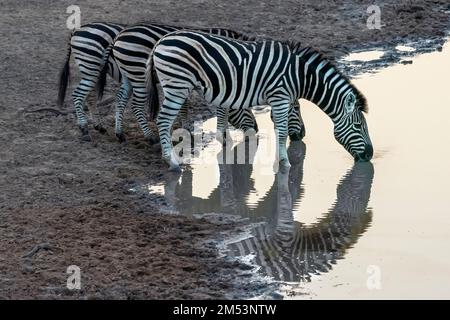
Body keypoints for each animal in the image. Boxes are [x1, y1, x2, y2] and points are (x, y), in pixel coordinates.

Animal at [147, 30, 372, 171]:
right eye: (359, 126)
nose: (370, 155)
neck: (301, 75)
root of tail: (160, 41)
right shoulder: (280, 97)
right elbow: (282, 131)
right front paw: (285, 164)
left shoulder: (279, 98)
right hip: (177, 85)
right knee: (163, 120)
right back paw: (172, 163)